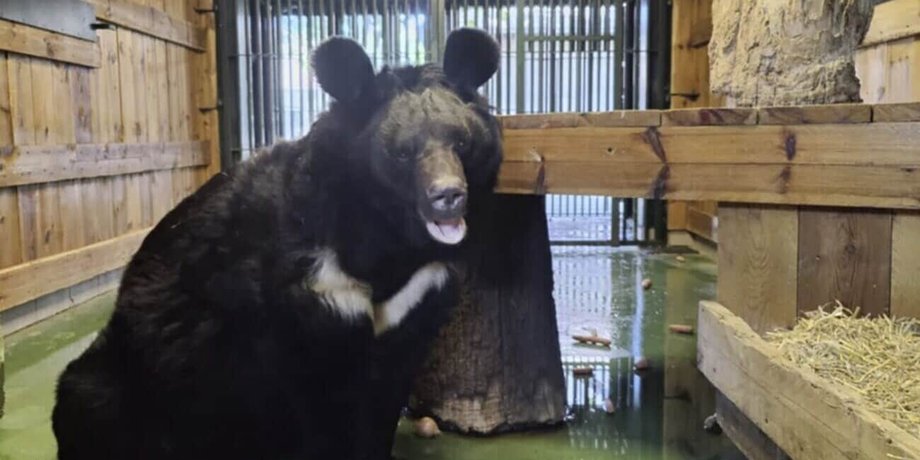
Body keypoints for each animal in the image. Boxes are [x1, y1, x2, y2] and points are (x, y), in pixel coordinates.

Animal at [51, 28, 502, 460]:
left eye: (462, 142)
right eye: (402, 153)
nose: (448, 195)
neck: (382, 235)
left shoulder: (414, 299)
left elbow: (386, 392)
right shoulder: (296, 303)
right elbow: (311, 407)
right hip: (124, 380)